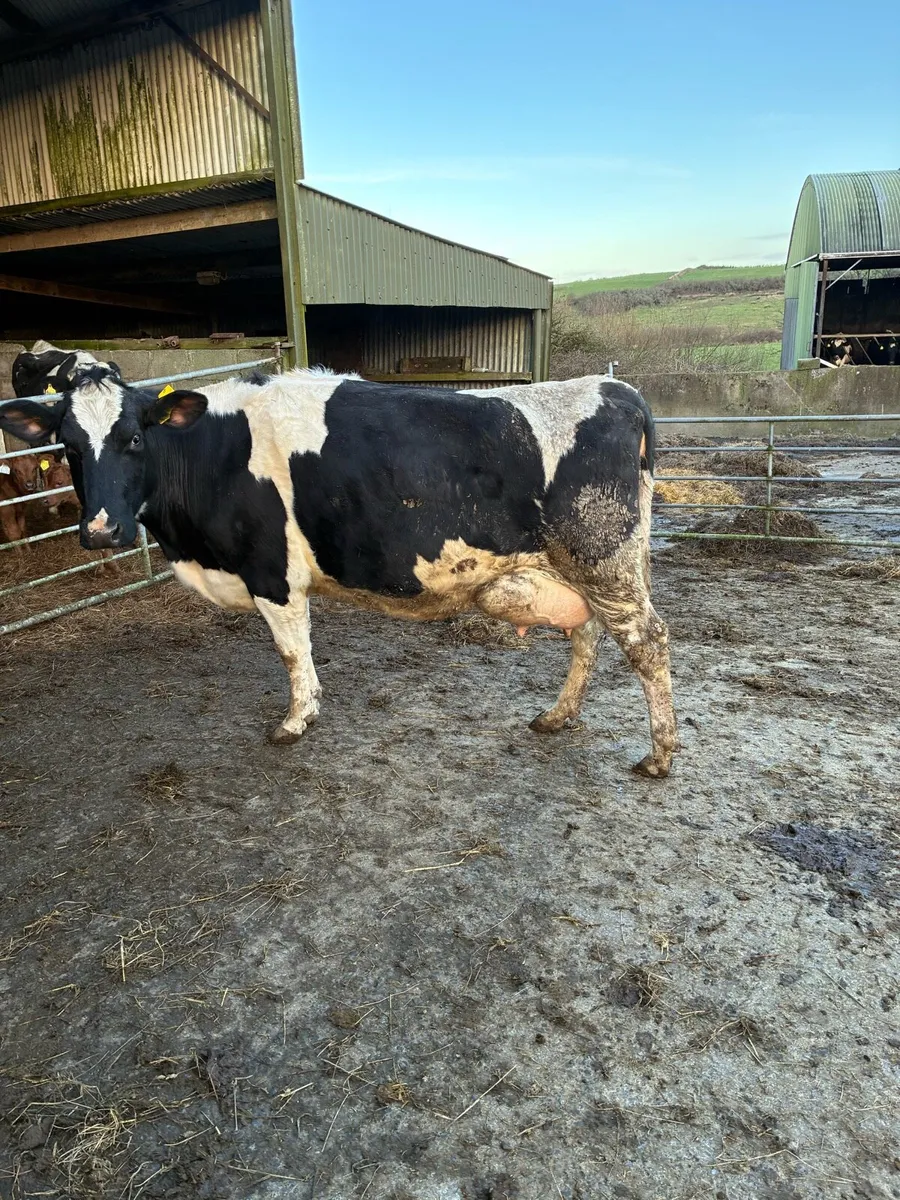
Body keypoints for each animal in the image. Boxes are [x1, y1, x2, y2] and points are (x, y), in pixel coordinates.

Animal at [0, 366, 677, 777]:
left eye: (135, 438)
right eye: (68, 445)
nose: (101, 531)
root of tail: (615, 390)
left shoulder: (271, 573)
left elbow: (292, 652)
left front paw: (296, 720)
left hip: (603, 559)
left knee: (647, 642)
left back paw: (660, 755)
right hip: (581, 571)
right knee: (586, 635)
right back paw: (560, 716)